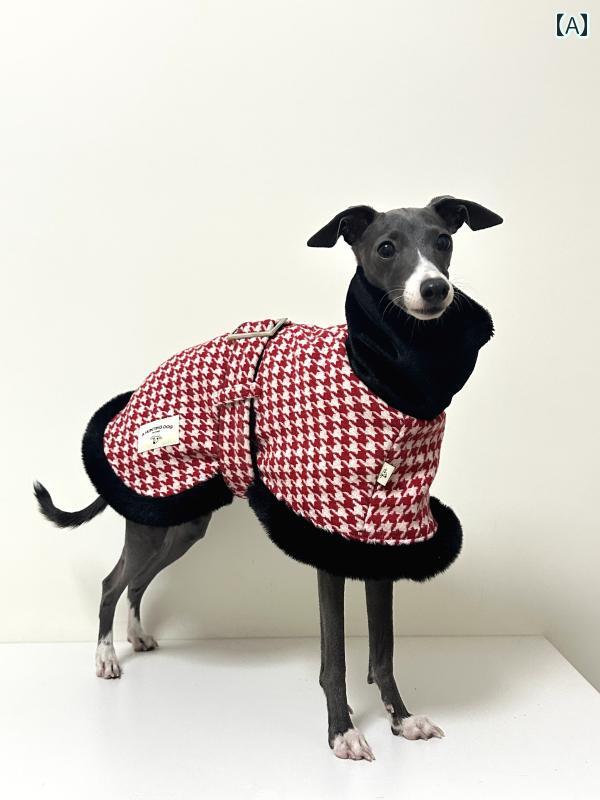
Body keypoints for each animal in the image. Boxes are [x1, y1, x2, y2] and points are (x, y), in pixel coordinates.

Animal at [35, 195, 502, 761]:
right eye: (386, 248)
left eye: (444, 240)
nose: (434, 289)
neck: (384, 380)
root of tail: (131, 399)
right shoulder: (329, 543)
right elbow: (335, 658)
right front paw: (343, 732)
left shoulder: (382, 540)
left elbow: (384, 651)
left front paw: (402, 720)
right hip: (150, 515)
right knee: (112, 582)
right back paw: (106, 656)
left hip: (183, 523)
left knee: (136, 582)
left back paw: (137, 636)